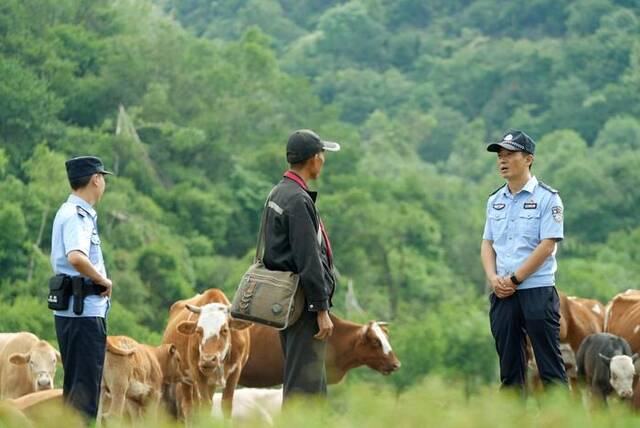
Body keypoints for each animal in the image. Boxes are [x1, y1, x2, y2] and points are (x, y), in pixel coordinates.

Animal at [161, 290, 251, 420]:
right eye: (198, 331)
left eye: (224, 330)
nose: (208, 360)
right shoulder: (197, 370)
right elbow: (205, 405)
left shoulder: (236, 370)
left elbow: (226, 404)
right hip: (185, 377)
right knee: (189, 405)